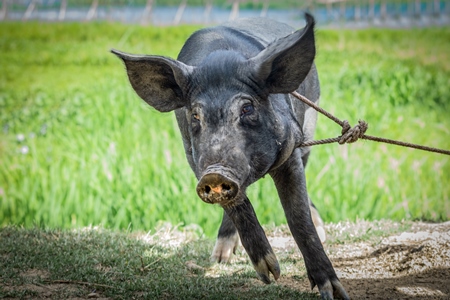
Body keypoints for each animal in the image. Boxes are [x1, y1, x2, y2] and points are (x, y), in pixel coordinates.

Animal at [111, 12, 348, 298]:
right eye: (195, 115)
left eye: (247, 108)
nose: (215, 174)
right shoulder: (193, 157)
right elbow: (237, 204)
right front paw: (268, 274)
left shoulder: (290, 148)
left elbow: (298, 219)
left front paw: (334, 292)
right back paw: (221, 258)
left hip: (309, 134)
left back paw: (322, 231)